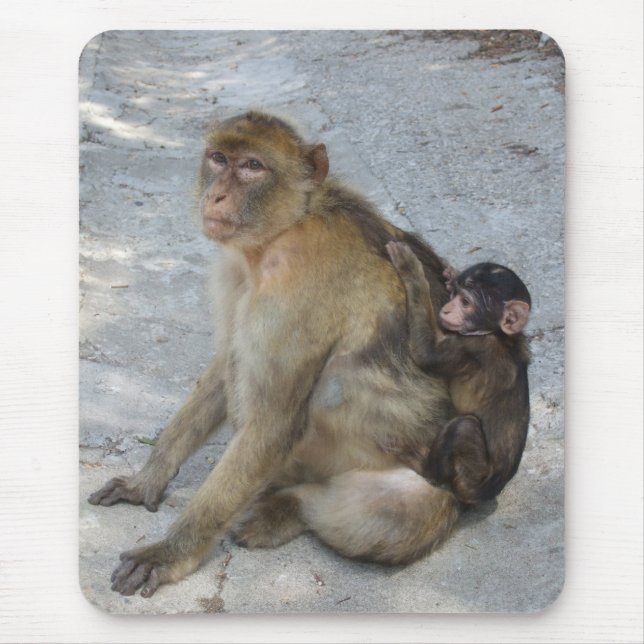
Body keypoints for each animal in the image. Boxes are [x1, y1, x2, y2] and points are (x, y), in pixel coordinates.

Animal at [88, 110, 460, 598]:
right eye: (219, 158)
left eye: (252, 166)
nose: (216, 194)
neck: (283, 231)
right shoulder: (235, 272)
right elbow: (223, 364)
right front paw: (148, 478)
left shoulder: (297, 292)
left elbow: (274, 421)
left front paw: (171, 552)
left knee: (395, 519)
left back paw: (291, 509)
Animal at [384, 241, 531, 506]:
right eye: (456, 296)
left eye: (466, 302)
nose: (448, 308)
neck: (497, 335)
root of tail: (491, 489)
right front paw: (451, 276)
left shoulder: (473, 348)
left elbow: (425, 353)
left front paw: (410, 268)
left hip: (472, 475)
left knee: (463, 427)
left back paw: (425, 467)